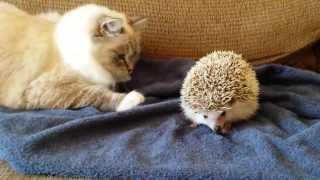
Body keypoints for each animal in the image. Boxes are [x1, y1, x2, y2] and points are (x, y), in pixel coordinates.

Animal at [0, 3, 148, 111]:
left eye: (135, 55)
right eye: (121, 57)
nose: (130, 70)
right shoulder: (45, 88)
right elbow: (94, 93)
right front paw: (133, 99)